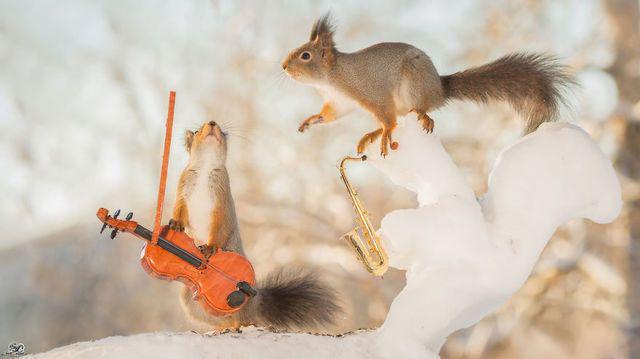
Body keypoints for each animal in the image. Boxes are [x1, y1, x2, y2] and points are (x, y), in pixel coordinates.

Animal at [169, 120, 340, 332]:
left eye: (223, 133)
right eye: (196, 131)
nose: (212, 123)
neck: (206, 167)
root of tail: (254, 303)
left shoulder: (223, 200)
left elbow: (220, 226)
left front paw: (209, 248)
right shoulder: (183, 189)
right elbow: (179, 211)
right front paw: (175, 223)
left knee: (241, 317)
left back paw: (241, 324)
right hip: (190, 299)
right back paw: (222, 327)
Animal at [280, 13, 576, 157]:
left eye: (305, 55)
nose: (283, 66)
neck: (333, 78)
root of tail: (440, 89)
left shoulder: (372, 92)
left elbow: (387, 117)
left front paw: (386, 134)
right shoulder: (339, 102)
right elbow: (331, 114)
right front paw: (311, 120)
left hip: (414, 83)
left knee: (416, 110)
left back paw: (418, 117)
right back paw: (372, 133)